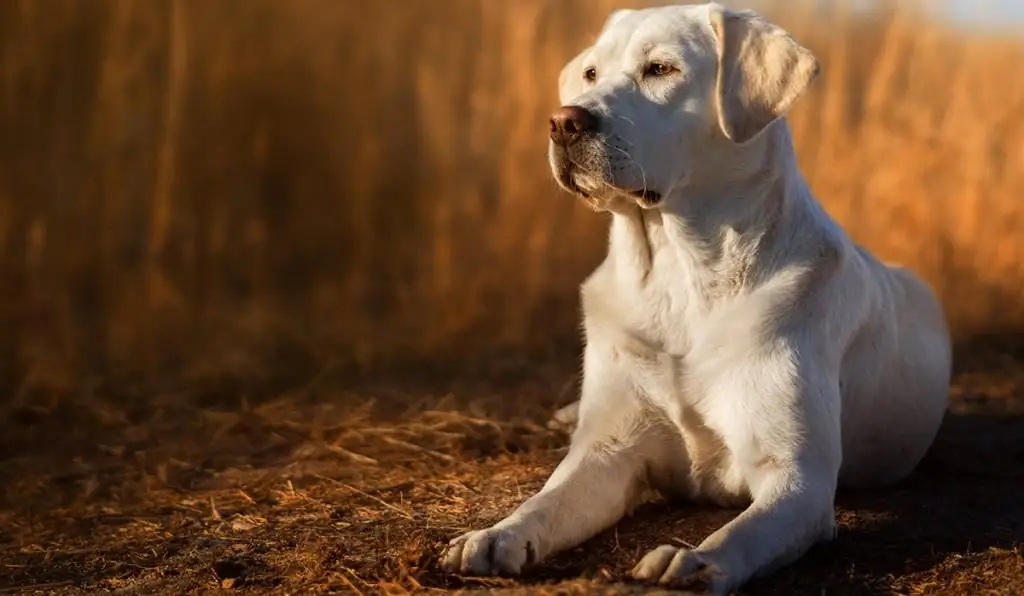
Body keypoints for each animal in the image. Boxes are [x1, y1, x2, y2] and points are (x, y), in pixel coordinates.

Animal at [440, 3, 950, 593]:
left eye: (661, 69)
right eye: (591, 74)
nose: (564, 121)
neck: (679, 277)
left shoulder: (797, 478)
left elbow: (742, 532)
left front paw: (692, 561)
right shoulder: (608, 451)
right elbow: (545, 502)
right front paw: (494, 536)